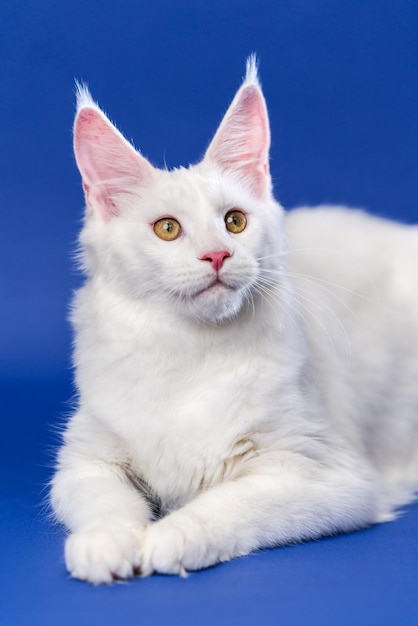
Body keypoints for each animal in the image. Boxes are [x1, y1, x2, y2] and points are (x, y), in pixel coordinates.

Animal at [50, 56, 418, 584]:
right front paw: (105, 545)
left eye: (235, 222)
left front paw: (171, 538)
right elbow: (105, 505)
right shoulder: (85, 460)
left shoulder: (323, 473)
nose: (217, 255)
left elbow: (225, 505)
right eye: (167, 229)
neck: (189, 354)